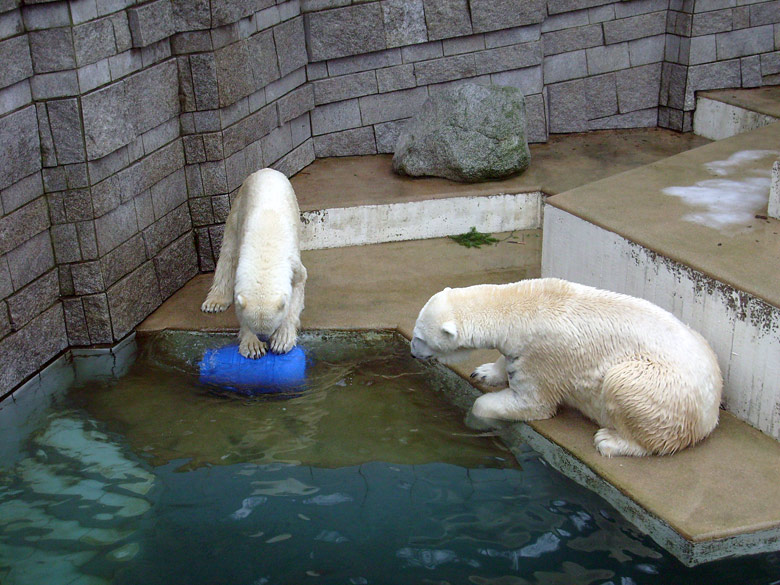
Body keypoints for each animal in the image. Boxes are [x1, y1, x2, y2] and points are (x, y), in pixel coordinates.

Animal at [201, 164, 308, 356]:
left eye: (272, 327)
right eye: (255, 328)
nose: (263, 338)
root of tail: (267, 170)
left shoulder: (293, 264)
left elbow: (297, 288)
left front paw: (282, 340)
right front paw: (253, 346)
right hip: (238, 206)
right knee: (228, 254)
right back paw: (214, 303)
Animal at [412, 278, 724, 456]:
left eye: (419, 338)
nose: (413, 353)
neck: (522, 306)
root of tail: (711, 413)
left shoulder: (543, 355)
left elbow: (533, 403)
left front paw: (477, 418)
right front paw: (486, 372)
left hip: (662, 389)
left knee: (626, 387)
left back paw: (610, 440)